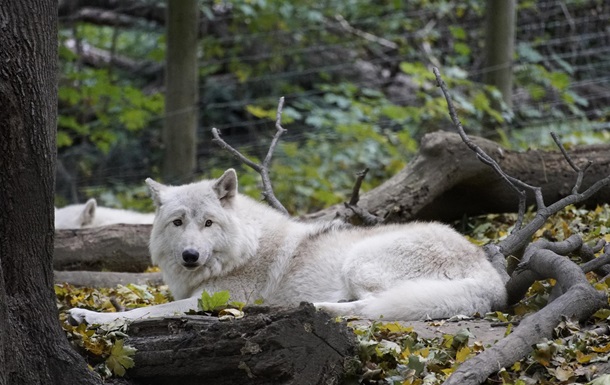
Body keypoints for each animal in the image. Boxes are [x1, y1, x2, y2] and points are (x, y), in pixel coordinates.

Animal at [66, 170, 506, 322]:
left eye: (208, 223)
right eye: (178, 222)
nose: (191, 255)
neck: (242, 250)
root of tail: (491, 278)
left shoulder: (207, 300)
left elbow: (143, 311)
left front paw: (92, 316)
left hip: (359, 263)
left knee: (371, 307)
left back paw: (313, 307)